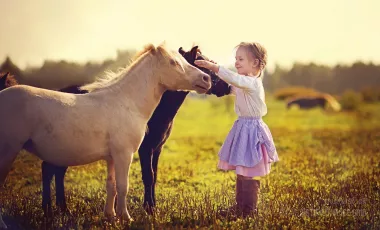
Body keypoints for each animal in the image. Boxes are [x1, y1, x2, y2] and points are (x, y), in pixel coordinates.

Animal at [0, 43, 211, 228]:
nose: (206, 79)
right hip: (9, 151)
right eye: (174, 62)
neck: (127, 102)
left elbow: (112, 186)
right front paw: (126, 218)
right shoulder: (125, 154)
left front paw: (111, 217)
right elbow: (123, 186)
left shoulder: (112, 157)